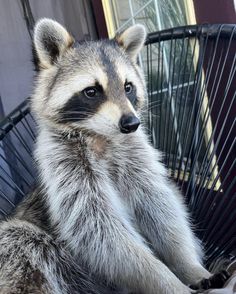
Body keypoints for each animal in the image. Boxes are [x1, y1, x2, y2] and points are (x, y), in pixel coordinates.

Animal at [0, 19, 212, 292]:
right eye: (91, 91)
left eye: (128, 87)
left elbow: (160, 206)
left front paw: (187, 265)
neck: (100, 136)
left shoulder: (135, 156)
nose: (131, 123)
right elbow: (99, 231)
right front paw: (165, 280)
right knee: (18, 238)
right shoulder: (65, 167)